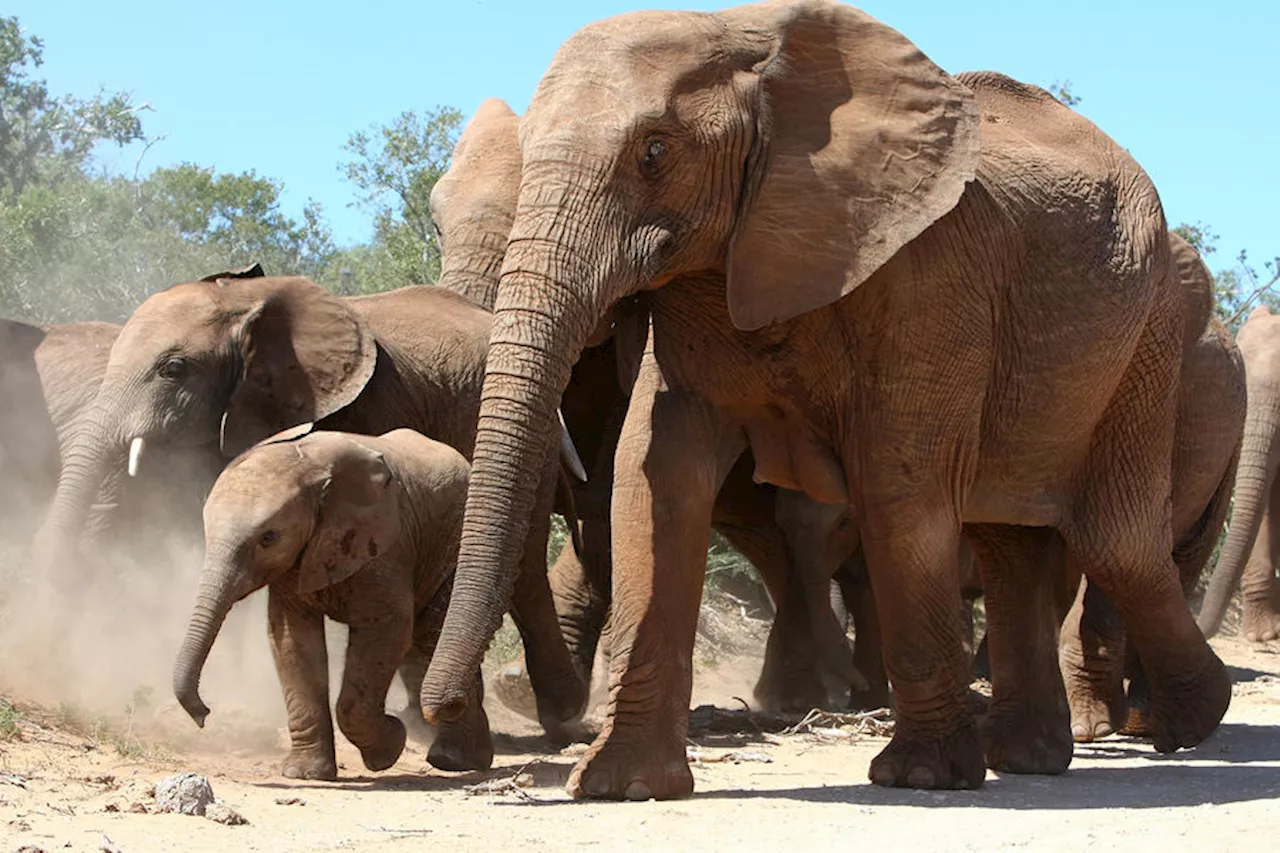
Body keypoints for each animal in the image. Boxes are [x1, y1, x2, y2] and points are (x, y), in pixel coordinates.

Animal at [35, 263, 586, 737]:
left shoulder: (361, 404)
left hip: (527, 433)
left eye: (173, 368)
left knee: (525, 563)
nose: (204, 715)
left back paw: (553, 717)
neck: (246, 299)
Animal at [170, 425, 488, 778]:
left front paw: (387, 749)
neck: (307, 470)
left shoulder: (386, 545)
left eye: (269, 538)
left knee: (434, 632)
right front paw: (305, 773)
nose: (204, 714)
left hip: (450, 546)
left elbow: (387, 630)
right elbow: (292, 641)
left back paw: (453, 761)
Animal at [419, 0, 1228, 799]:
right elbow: (655, 473)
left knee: (1114, 537)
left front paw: (921, 778)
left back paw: (1186, 721)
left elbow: (899, 486)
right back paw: (1031, 753)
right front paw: (620, 786)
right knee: (1008, 537)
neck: (742, 35)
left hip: (1151, 335)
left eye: (653, 152)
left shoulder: (931, 274)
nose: (443, 712)